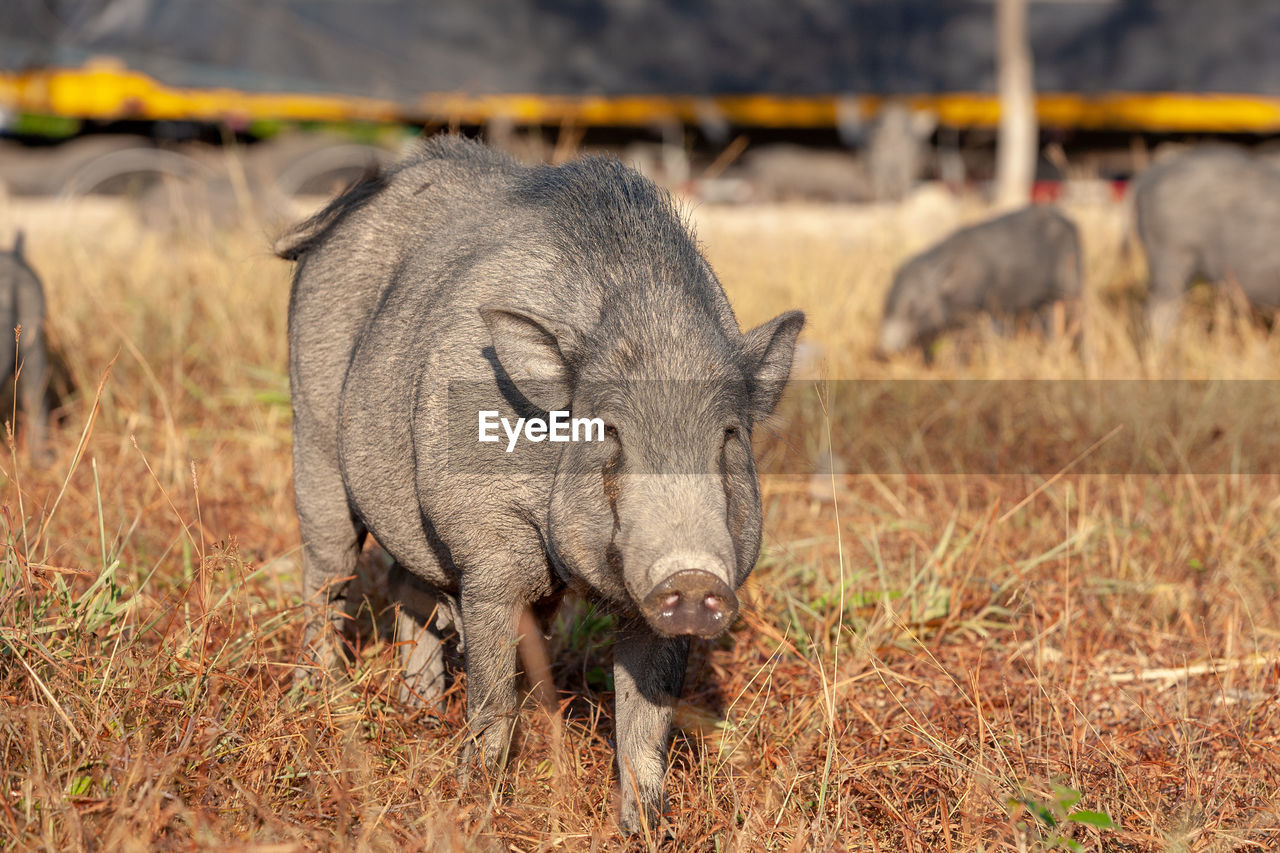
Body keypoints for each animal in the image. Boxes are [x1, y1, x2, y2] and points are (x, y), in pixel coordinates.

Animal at [276, 136, 803, 835]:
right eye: (608, 431)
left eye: (729, 438)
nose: (692, 577)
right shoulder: (487, 549)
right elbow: (493, 692)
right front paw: (475, 803)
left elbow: (646, 723)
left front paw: (646, 830)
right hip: (311, 429)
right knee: (327, 573)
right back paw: (319, 696)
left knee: (405, 586)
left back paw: (418, 711)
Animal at [880, 204, 1080, 356]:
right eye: (887, 306)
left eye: (913, 308)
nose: (884, 349)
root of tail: (1070, 222)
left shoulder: (986, 310)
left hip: (1070, 290)